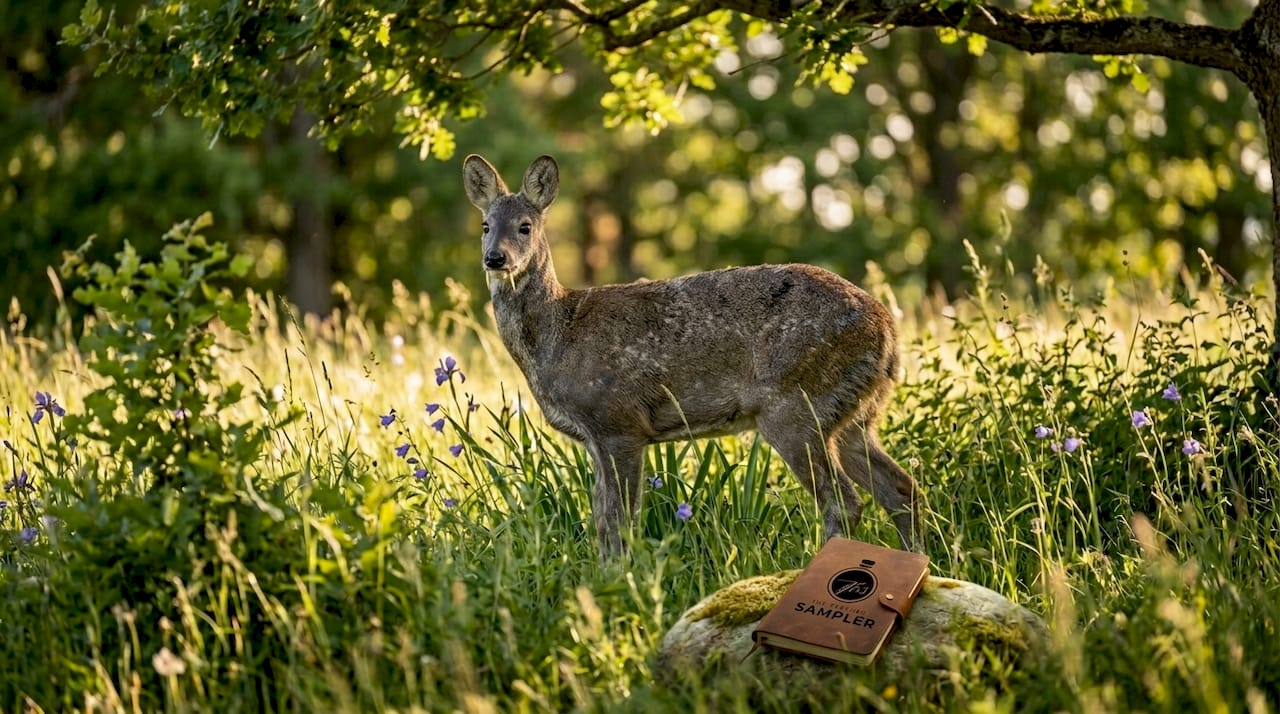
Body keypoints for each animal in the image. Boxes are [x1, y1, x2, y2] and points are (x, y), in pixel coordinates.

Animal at [462, 154, 921, 559]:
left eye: (525, 226)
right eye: (485, 225)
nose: (495, 258)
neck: (558, 334)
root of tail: (888, 332)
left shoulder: (618, 423)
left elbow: (621, 521)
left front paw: (621, 580)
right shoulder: (594, 438)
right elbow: (602, 521)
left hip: (796, 405)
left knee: (843, 500)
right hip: (853, 415)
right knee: (900, 488)